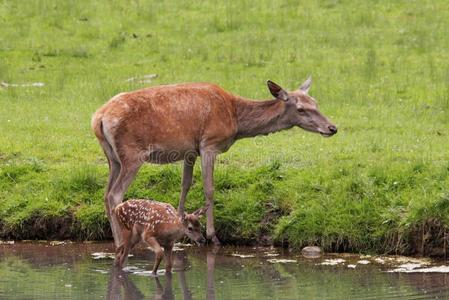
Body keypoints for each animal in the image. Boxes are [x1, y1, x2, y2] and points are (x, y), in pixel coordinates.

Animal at [91, 77, 336, 246]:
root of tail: (99, 118)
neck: (235, 119)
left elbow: (185, 185)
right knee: (114, 195)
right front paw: (212, 236)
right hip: (132, 154)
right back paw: (120, 241)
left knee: (105, 193)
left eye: (316, 103)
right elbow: (209, 188)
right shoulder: (209, 143)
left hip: (113, 158)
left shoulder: (190, 150)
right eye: (301, 109)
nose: (332, 127)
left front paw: (181, 228)